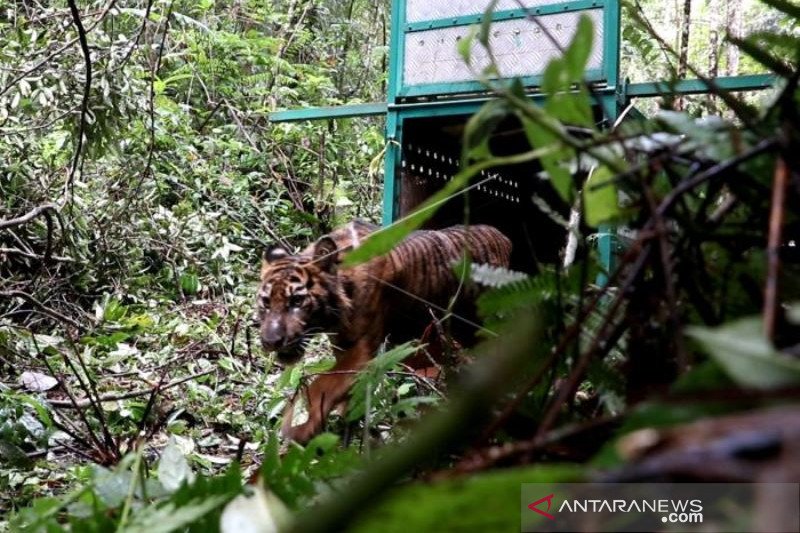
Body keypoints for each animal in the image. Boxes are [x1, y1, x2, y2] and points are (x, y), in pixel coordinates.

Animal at [255, 218, 512, 442]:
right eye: (266, 302)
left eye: (297, 301)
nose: (270, 341)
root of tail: (501, 234)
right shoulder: (341, 344)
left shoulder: (362, 347)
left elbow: (323, 384)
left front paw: (297, 426)